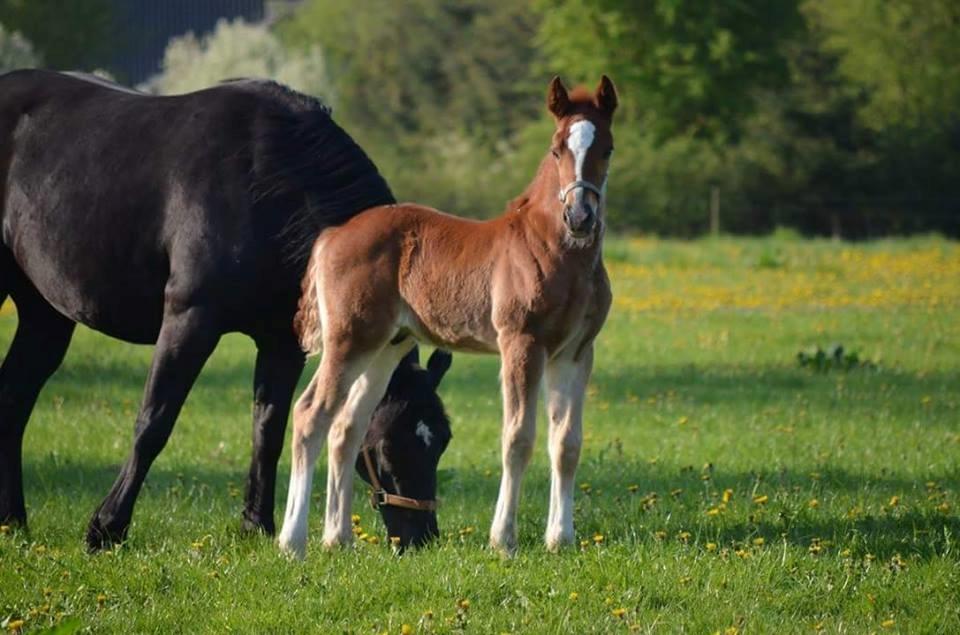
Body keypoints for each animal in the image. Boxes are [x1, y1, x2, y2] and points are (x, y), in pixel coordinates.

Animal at [0, 67, 454, 548]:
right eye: (389, 444)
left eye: (441, 439)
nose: (422, 537)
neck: (267, 181)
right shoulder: (190, 320)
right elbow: (154, 422)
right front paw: (107, 527)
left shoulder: (282, 343)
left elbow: (268, 430)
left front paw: (258, 525)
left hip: (45, 314)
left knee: (14, 397)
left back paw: (12, 519)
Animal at [280, 77, 616, 560]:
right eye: (556, 149)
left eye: (607, 148)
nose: (580, 217)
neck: (554, 249)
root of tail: (331, 236)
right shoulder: (522, 343)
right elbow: (518, 438)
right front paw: (504, 540)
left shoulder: (575, 353)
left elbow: (566, 443)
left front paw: (560, 539)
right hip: (349, 340)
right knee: (311, 415)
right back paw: (293, 541)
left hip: (386, 347)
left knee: (347, 426)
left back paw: (338, 538)